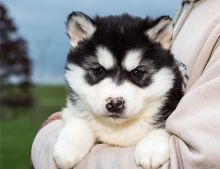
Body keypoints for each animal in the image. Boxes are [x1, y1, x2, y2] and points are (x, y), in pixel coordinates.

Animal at [54, 12, 183, 169]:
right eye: (98, 70)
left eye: (137, 72)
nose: (115, 104)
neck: (117, 128)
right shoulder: (72, 109)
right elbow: (80, 121)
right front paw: (69, 148)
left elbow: (163, 127)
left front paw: (152, 147)